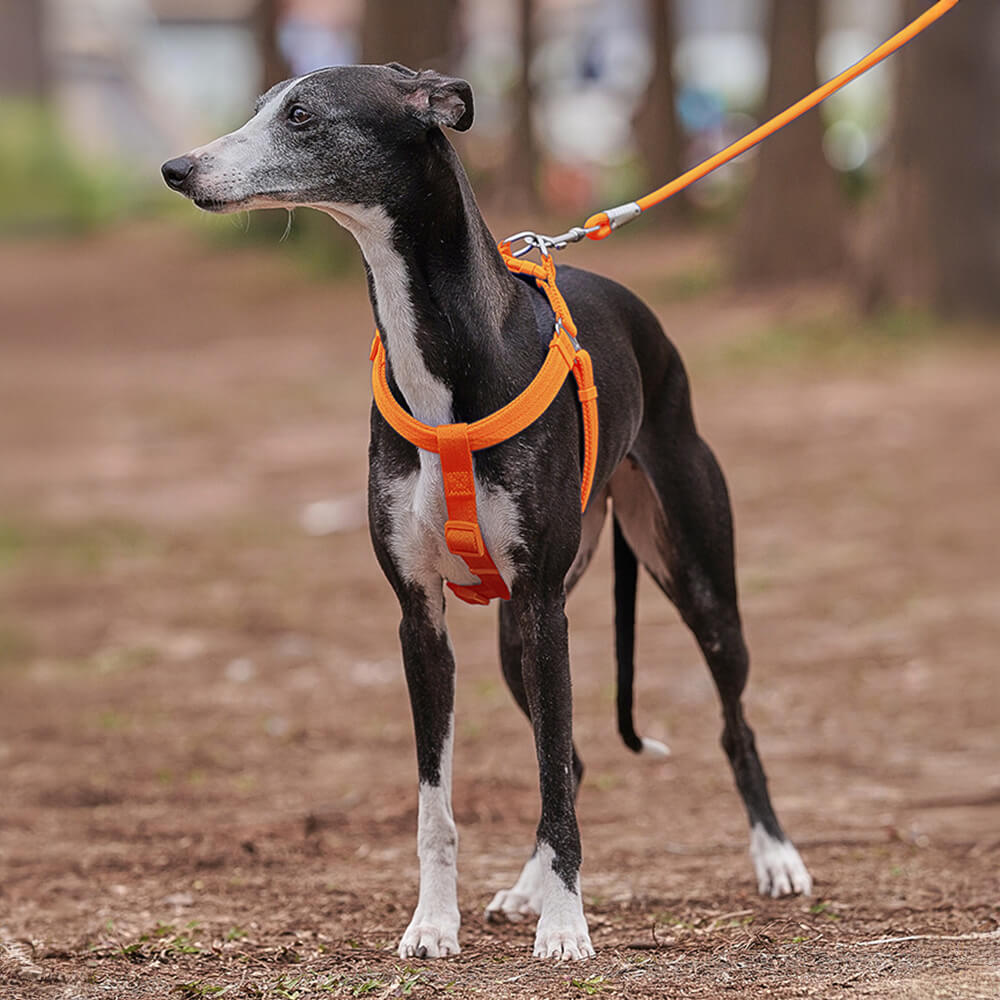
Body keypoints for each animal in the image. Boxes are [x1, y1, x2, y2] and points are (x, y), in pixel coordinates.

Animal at [160, 62, 808, 960]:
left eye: (301, 116)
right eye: (260, 107)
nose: (177, 169)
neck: (443, 356)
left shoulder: (541, 606)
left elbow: (554, 779)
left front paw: (567, 929)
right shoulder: (420, 617)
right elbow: (441, 802)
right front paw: (435, 923)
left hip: (694, 579)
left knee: (726, 724)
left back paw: (774, 856)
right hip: (515, 636)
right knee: (570, 757)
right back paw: (527, 887)